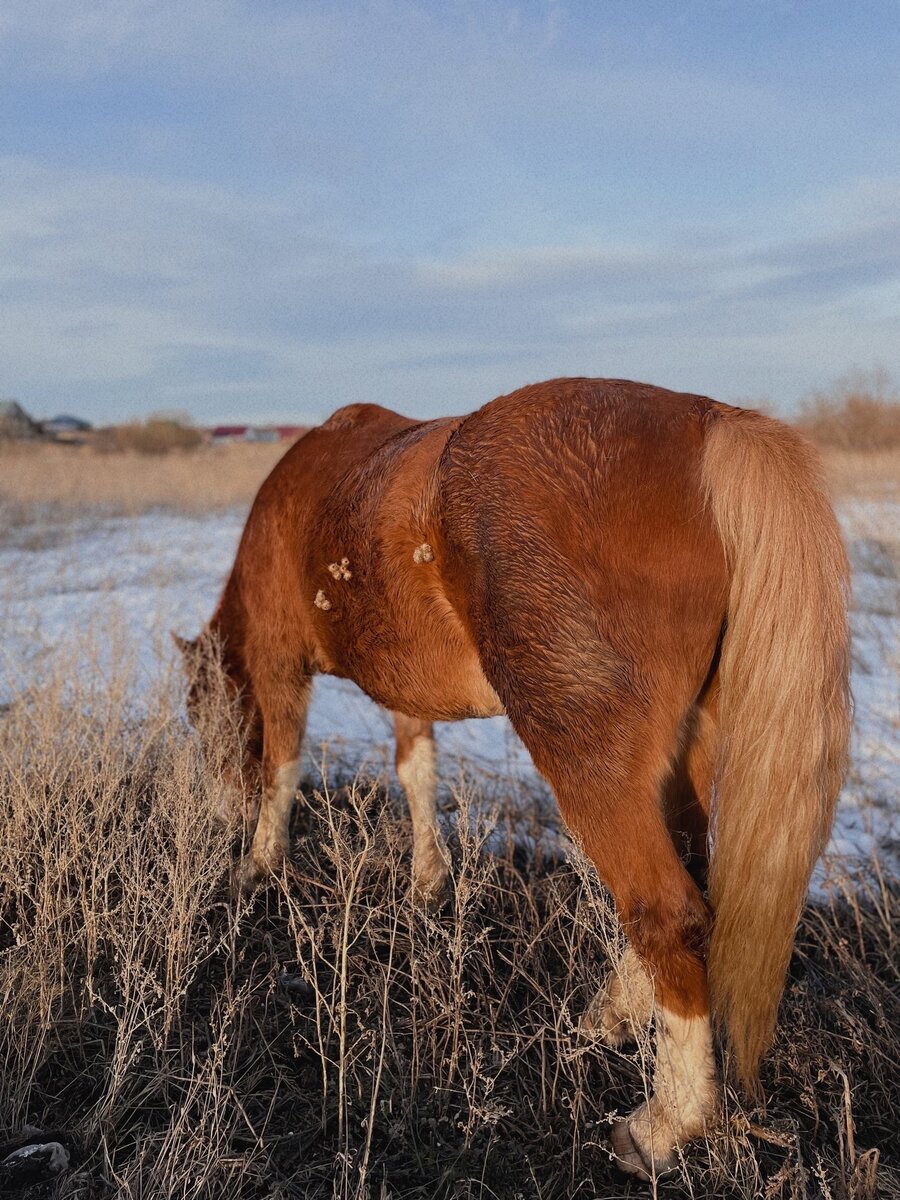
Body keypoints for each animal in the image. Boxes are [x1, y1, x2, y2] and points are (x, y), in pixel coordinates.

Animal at [176, 376, 854, 1180]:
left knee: (666, 911)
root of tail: (703, 420)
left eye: (203, 715)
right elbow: (417, 774)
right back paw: (614, 1016)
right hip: (687, 749)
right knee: (691, 878)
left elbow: (284, 769)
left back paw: (664, 1126)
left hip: (590, 762)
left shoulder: (280, 665)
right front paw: (427, 882)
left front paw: (259, 865)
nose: (219, 813)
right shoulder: (407, 693)